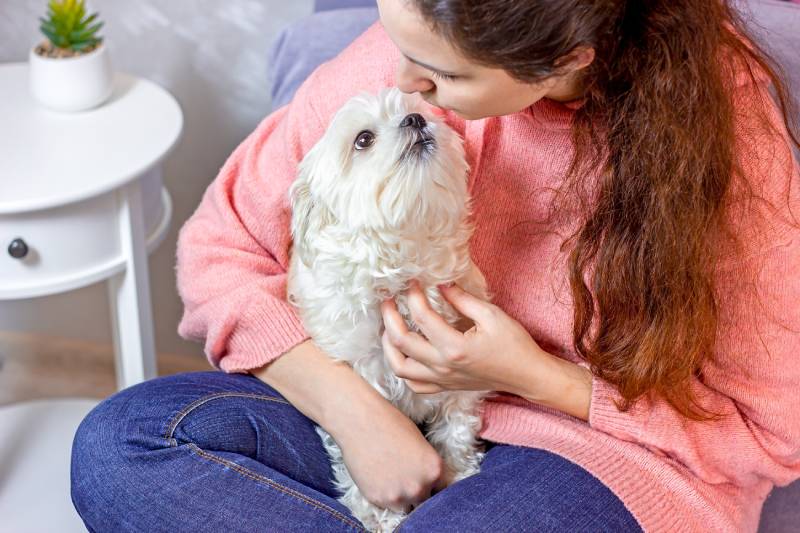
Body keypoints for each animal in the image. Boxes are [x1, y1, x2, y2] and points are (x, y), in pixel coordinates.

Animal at [284, 87, 490, 532]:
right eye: (363, 139)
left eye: (416, 111)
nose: (415, 120)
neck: (404, 264)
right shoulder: (362, 384)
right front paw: (384, 520)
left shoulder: (461, 380)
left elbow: (456, 430)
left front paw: (457, 475)